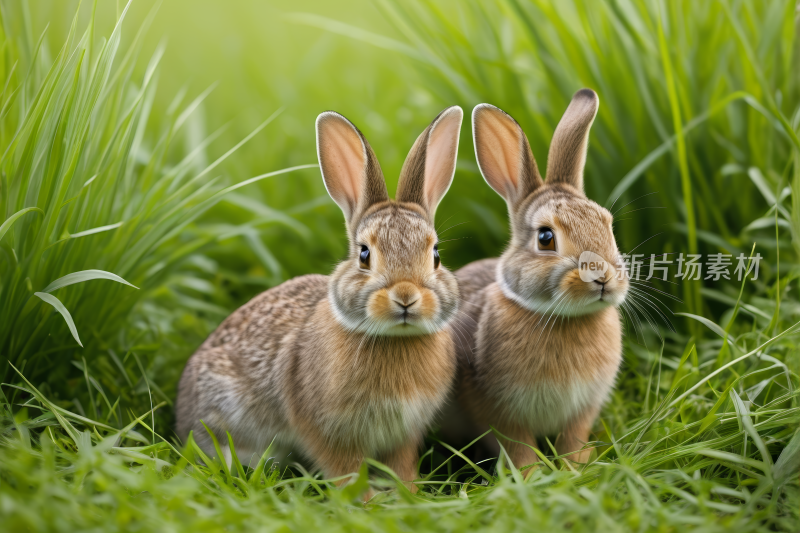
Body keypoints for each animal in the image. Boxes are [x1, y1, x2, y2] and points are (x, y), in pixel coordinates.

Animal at [175, 105, 462, 490]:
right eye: (364, 255)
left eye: (436, 256)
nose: (405, 296)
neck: (395, 339)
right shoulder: (326, 430)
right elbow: (345, 469)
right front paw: (365, 499)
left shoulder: (404, 433)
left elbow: (401, 465)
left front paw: (408, 492)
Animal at [446, 89, 628, 468]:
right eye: (545, 238)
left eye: (607, 224)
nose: (602, 278)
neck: (565, 319)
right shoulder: (498, 411)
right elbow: (518, 447)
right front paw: (532, 475)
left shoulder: (583, 407)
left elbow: (573, 437)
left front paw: (577, 466)